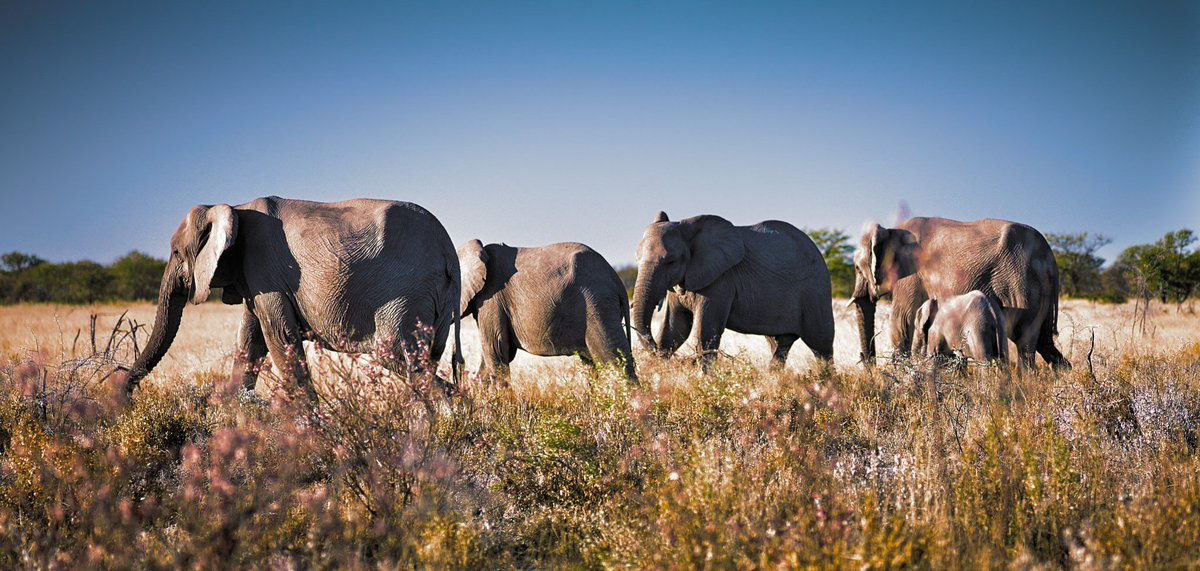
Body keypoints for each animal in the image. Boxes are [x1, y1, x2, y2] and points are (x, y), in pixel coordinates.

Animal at [125, 196, 461, 396]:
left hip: (407, 294)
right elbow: (249, 341)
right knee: (427, 360)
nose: (123, 392)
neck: (232, 206)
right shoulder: (253, 277)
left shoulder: (265, 267)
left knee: (397, 355)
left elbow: (279, 338)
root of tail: (449, 250)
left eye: (176, 252)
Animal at [457, 240, 636, 381]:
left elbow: (496, 349)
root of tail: (616, 280)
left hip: (598, 304)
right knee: (591, 363)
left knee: (614, 362)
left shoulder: (492, 299)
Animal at [630, 211, 834, 370]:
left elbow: (705, 333)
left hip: (815, 290)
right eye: (637, 258)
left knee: (821, 346)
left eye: (671, 261)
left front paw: (705, 382)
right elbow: (674, 329)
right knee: (779, 343)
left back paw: (827, 384)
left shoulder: (721, 280)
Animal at [850, 217, 1069, 370]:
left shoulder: (910, 276)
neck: (891, 230)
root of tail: (1050, 258)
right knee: (1044, 343)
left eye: (858, 268)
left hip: (1021, 284)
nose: (868, 365)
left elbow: (901, 321)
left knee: (1025, 344)